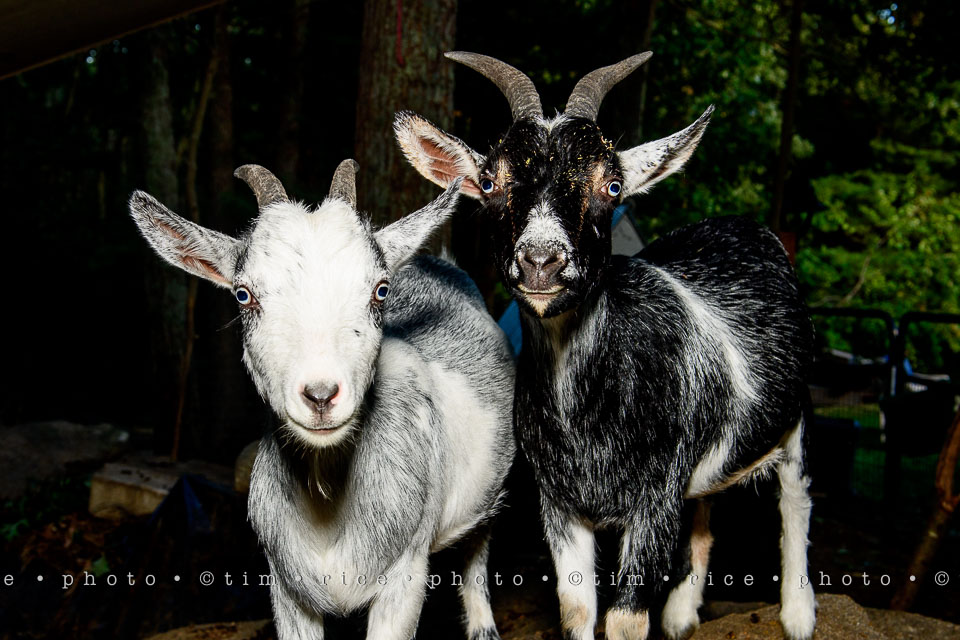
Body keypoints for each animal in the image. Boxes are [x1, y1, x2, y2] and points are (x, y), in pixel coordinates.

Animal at [129, 161, 516, 640]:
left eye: (380, 290)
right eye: (243, 295)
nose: (320, 394)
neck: (327, 493)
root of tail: (440, 262)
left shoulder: (405, 575)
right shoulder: (286, 585)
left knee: (478, 542)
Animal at [395, 52, 816, 640]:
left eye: (613, 185)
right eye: (490, 181)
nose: (541, 261)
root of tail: (744, 226)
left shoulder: (656, 495)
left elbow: (625, 620)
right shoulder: (559, 501)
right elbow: (577, 609)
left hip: (795, 415)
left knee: (795, 500)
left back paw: (798, 613)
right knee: (707, 511)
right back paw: (683, 613)